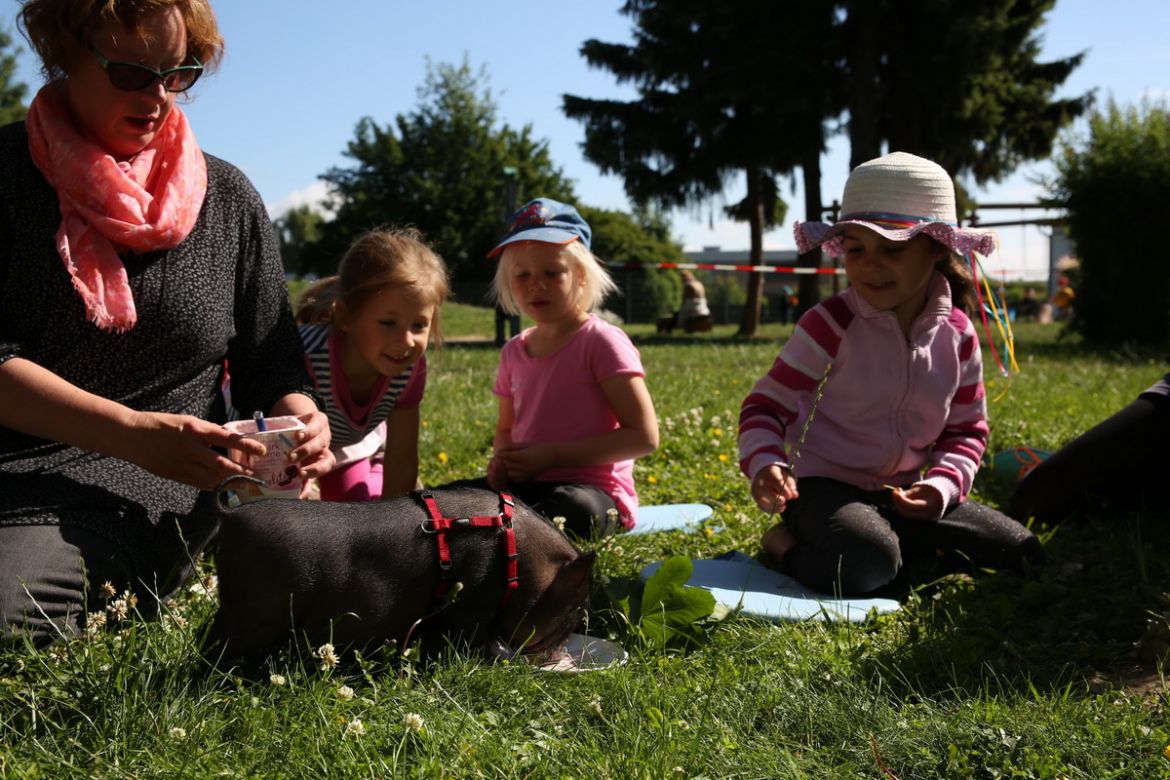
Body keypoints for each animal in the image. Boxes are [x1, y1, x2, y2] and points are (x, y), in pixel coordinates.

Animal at [200, 484, 594, 664]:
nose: (561, 655)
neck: (515, 557)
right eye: (573, 614)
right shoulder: (469, 606)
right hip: (254, 612)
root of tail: (228, 516)